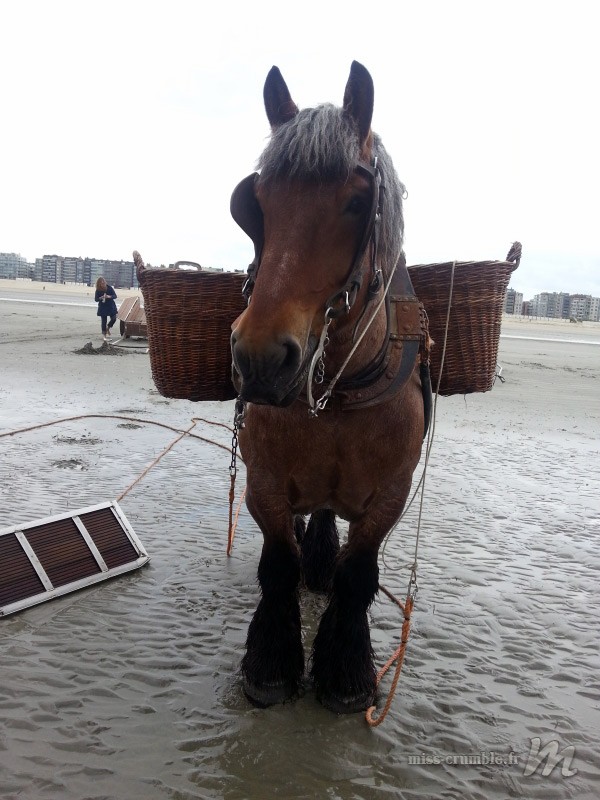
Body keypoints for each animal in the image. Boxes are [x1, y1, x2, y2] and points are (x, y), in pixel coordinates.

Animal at [229, 61, 430, 713]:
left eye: (356, 202)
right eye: (256, 203)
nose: (262, 357)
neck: (336, 397)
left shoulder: (392, 494)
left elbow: (357, 574)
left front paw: (346, 672)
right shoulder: (264, 483)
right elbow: (277, 565)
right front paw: (270, 663)